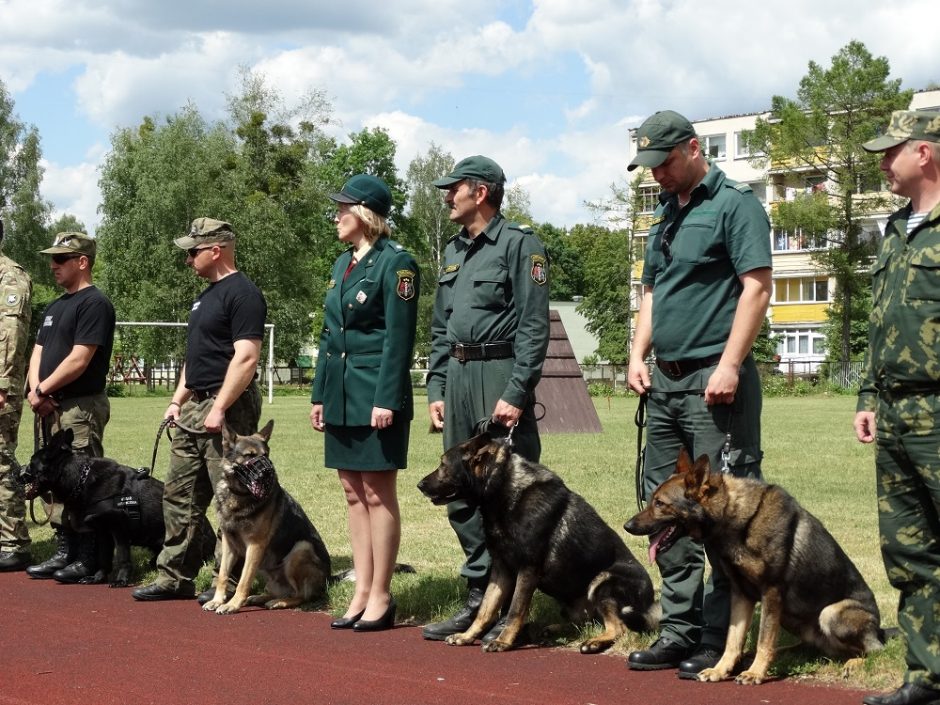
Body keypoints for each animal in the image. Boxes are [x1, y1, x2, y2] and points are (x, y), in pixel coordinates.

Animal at [18, 426, 209, 584]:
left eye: (31, 462)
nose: (16, 472)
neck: (81, 478)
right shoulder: (103, 532)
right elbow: (104, 557)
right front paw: (97, 578)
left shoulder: (118, 528)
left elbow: (123, 557)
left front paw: (121, 580)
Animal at [202, 420, 330, 612]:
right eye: (249, 456)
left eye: (266, 455)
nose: (269, 471)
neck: (240, 495)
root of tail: (329, 579)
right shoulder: (228, 544)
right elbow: (223, 575)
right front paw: (217, 600)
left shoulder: (255, 546)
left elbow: (244, 580)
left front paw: (232, 605)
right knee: (281, 591)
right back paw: (261, 597)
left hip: (301, 549)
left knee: (300, 595)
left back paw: (280, 602)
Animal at [414, 424, 656, 648]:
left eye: (443, 464)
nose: (419, 485)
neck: (503, 489)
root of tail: (651, 604)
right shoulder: (501, 568)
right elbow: (486, 608)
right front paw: (466, 636)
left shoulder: (527, 569)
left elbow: (514, 610)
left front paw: (502, 641)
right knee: (586, 622)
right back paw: (551, 630)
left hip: (603, 581)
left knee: (618, 628)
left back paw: (593, 643)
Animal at [624, 448, 880, 684]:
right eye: (652, 500)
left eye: (660, 503)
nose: (627, 526)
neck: (733, 517)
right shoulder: (741, 594)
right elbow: (733, 639)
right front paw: (720, 670)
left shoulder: (772, 593)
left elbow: (764, 641)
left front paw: (755, 673)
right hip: (791, 617)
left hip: (830, 613)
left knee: (874, 651)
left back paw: (853, 663)